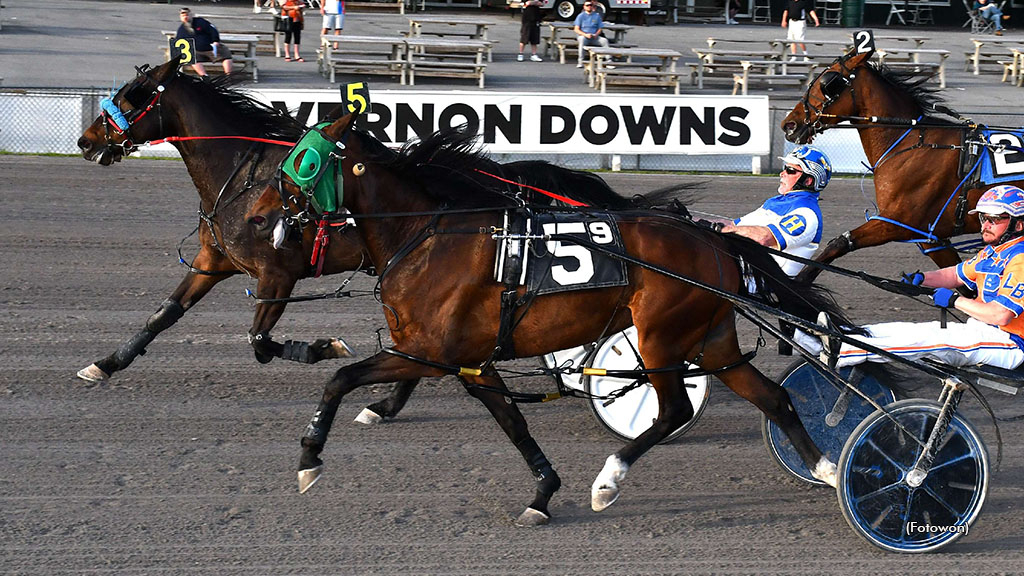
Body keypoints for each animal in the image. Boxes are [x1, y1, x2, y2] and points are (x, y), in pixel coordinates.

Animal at [778, 47, 1019, 282]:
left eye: (828, 81)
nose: (789, 124)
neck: (912, 142)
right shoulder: (930, 238)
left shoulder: (895, 223)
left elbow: (839, 243)